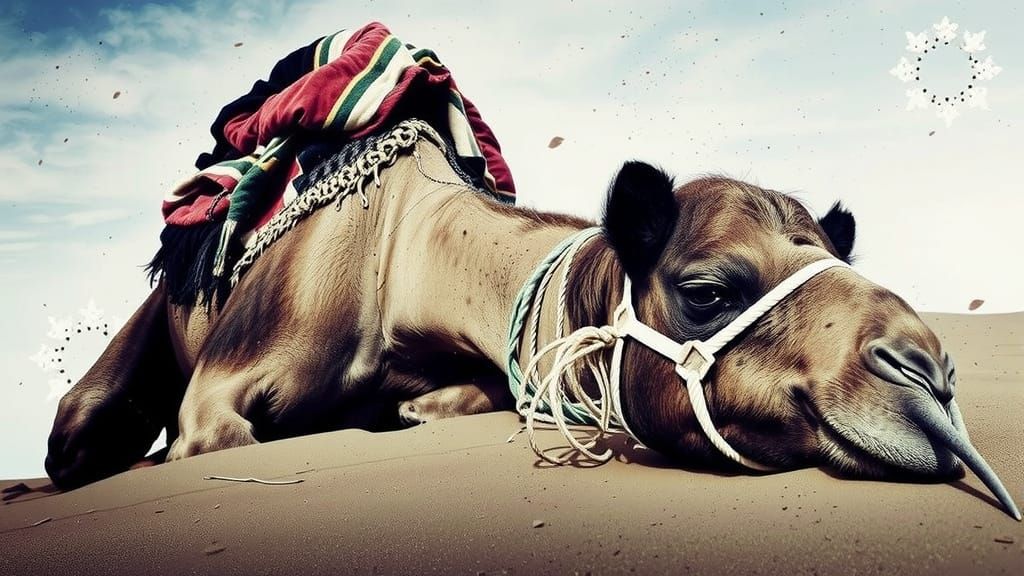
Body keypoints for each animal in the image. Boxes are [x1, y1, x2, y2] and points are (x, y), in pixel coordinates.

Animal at [45, 121, 1019, 519]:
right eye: (708, 291)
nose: (926, 370)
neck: (401, 258)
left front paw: (410, 410)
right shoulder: (217, 397)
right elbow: (215, 437)